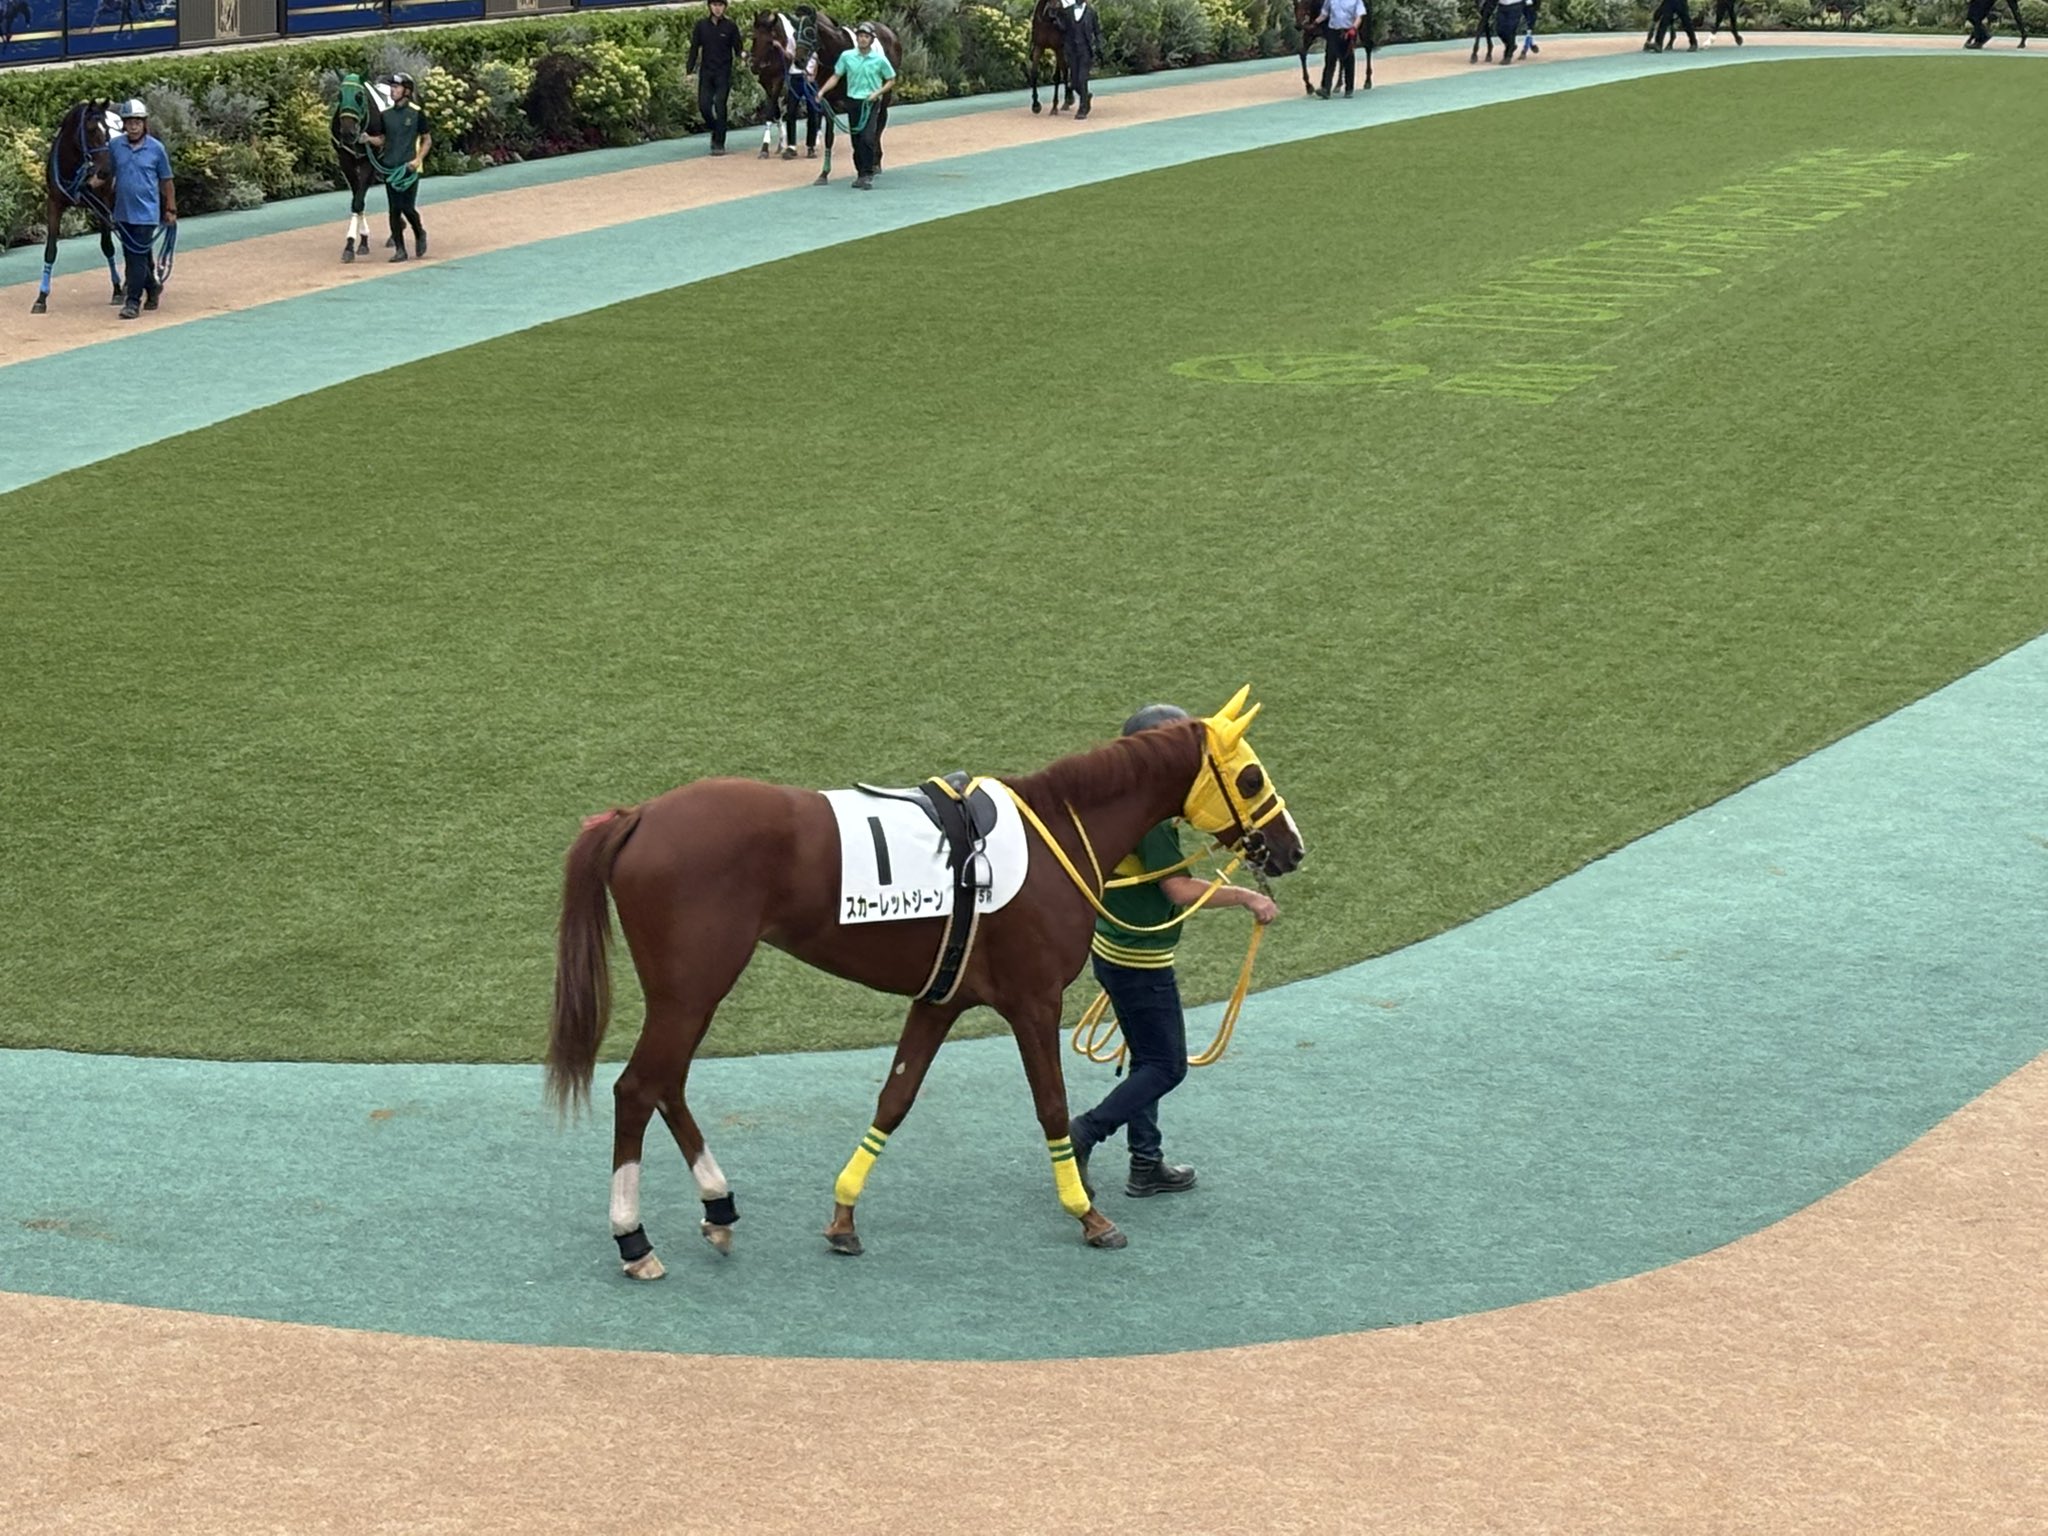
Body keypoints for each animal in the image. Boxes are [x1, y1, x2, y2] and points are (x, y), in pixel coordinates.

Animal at [30, 101, 121, 315]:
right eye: (91, 130)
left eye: (108, 130)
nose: (107, 170)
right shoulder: (54, 203)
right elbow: (50, 250)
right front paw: (41, 298)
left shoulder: (102, 206)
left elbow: (108, 246)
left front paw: (118, 290)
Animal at [546, 689, 1306, 1280]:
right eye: (1249, 778)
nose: (1292, 848)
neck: (1058, 832)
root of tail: (639, 815)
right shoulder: (1035, 1001)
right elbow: (1053, 1107)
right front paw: (1088, 1214)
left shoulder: (941, 999)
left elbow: (895, 1098)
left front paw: (844, 1216)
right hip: (691, 989)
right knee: (638, 1088)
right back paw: (635, 1241)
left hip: (689, 993)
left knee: (666, 1085)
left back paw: (719, 1207)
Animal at [748, 10, 824, 160]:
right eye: (754, 37)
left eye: (770, 41)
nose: (754, 67)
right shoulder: (765, 82)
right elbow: (776, 111)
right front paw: (782, 143)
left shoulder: (779, 79)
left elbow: (770, 110)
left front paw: (765, 148)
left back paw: (816, 140)